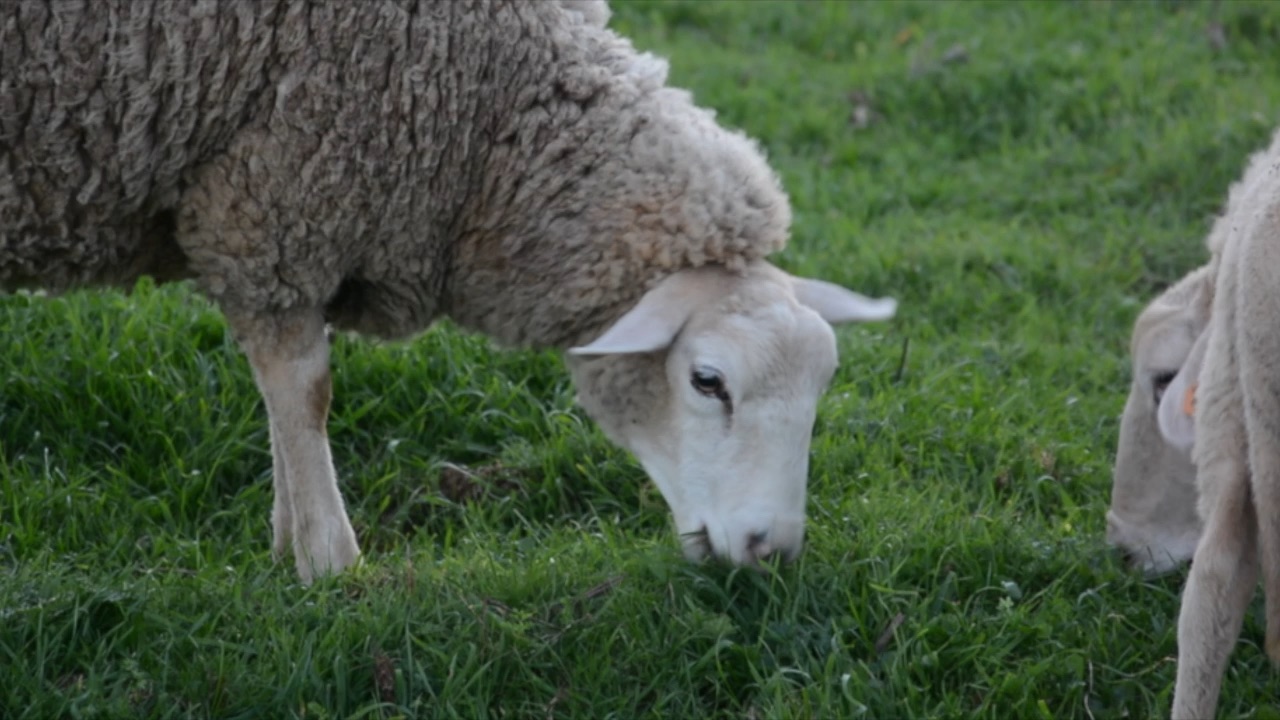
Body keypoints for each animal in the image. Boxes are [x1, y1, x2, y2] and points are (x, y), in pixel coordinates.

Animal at [2, 0, 901, 576]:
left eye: (823, 386)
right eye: (707, 381)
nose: (770, 554)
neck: (487, 134)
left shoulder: (265, 222)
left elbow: (280, 394)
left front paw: (287, 537)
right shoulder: (274, 210)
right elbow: (304, 390)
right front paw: (329, 562)